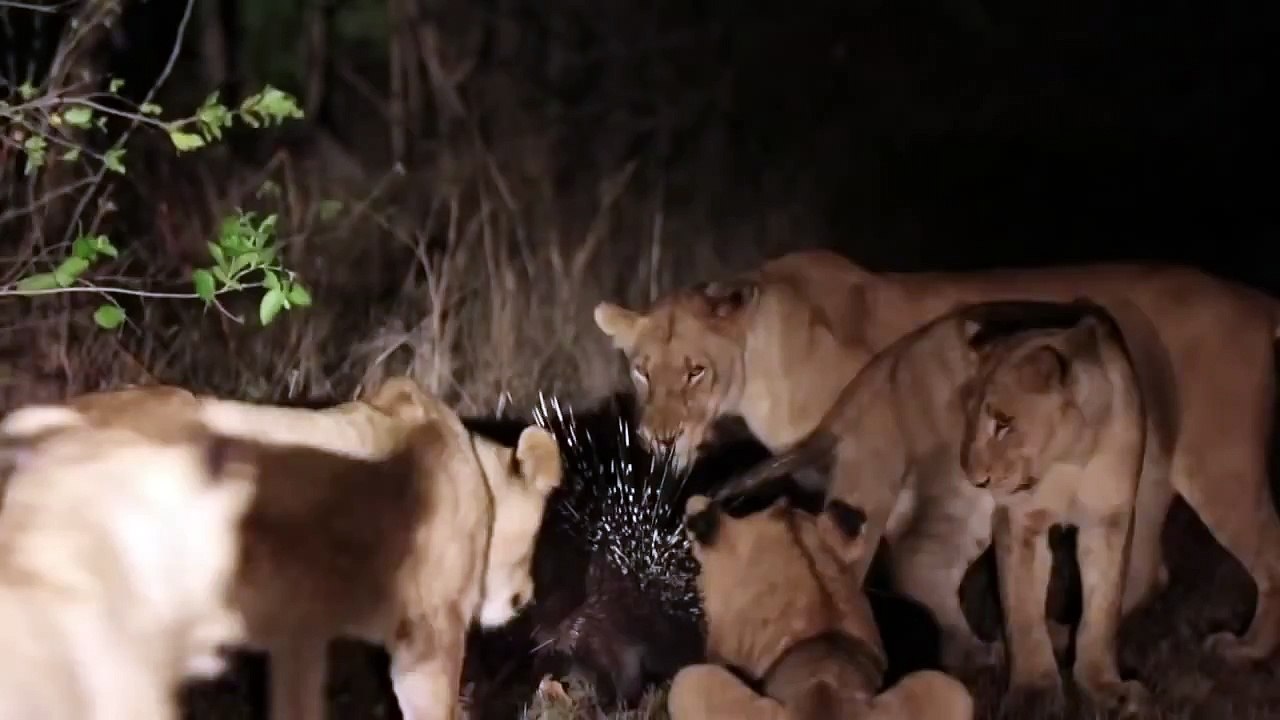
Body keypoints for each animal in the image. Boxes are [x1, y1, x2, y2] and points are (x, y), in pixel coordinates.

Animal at [594, 250, 1280, 667]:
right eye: (642, 370)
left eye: (696, 371)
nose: (656, 439)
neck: (763, 360)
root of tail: (1257, 299)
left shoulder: (868, 466)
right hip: (1145, 471)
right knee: (1144, 570)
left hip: (1220, 468)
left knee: (1267, 552)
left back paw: (1246, 649)